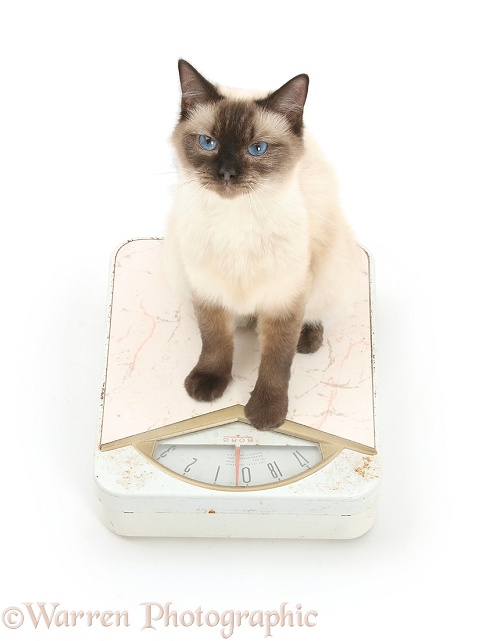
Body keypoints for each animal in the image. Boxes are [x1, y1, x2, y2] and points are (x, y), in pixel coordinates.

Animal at [165, 60, 360, 430]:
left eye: (257, 149)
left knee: (316, 311)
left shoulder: (284, 296)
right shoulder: (207, 288)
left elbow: (276, 361)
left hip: (327, 269)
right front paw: (208, 382)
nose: (227, 174)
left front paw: (267, 414)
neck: (235, 220)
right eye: (208, 143)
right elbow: (214, 340)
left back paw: (307, 339)